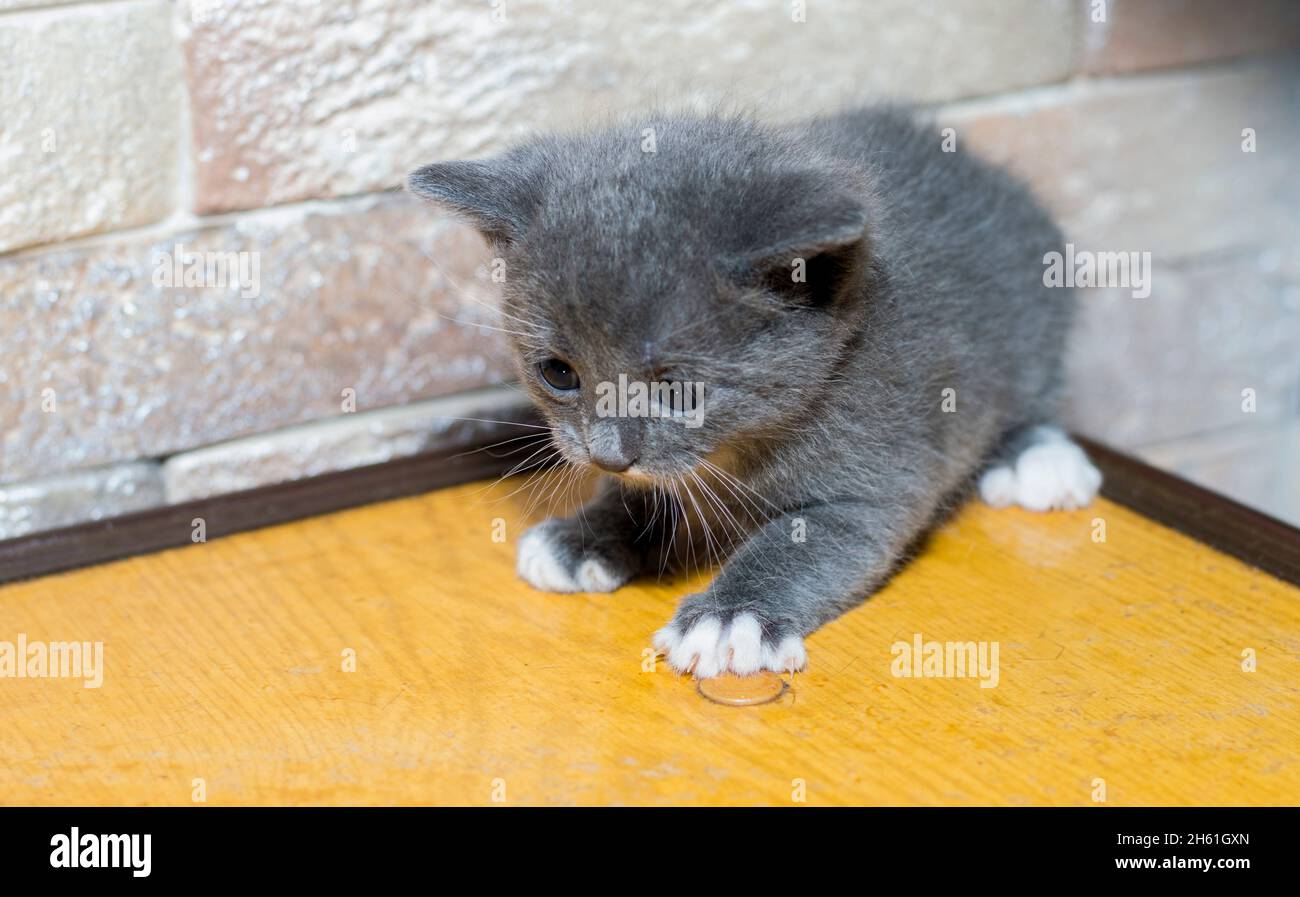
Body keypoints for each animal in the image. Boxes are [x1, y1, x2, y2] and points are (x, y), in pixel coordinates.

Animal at [408, 104, 1097, 676]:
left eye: (680, 391)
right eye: (558, 372)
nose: (607, 455)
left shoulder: (880, 472)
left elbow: (809, 542)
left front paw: (729, 617)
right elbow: (650, 494)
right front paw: (584, 534)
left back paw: (1040, 458)